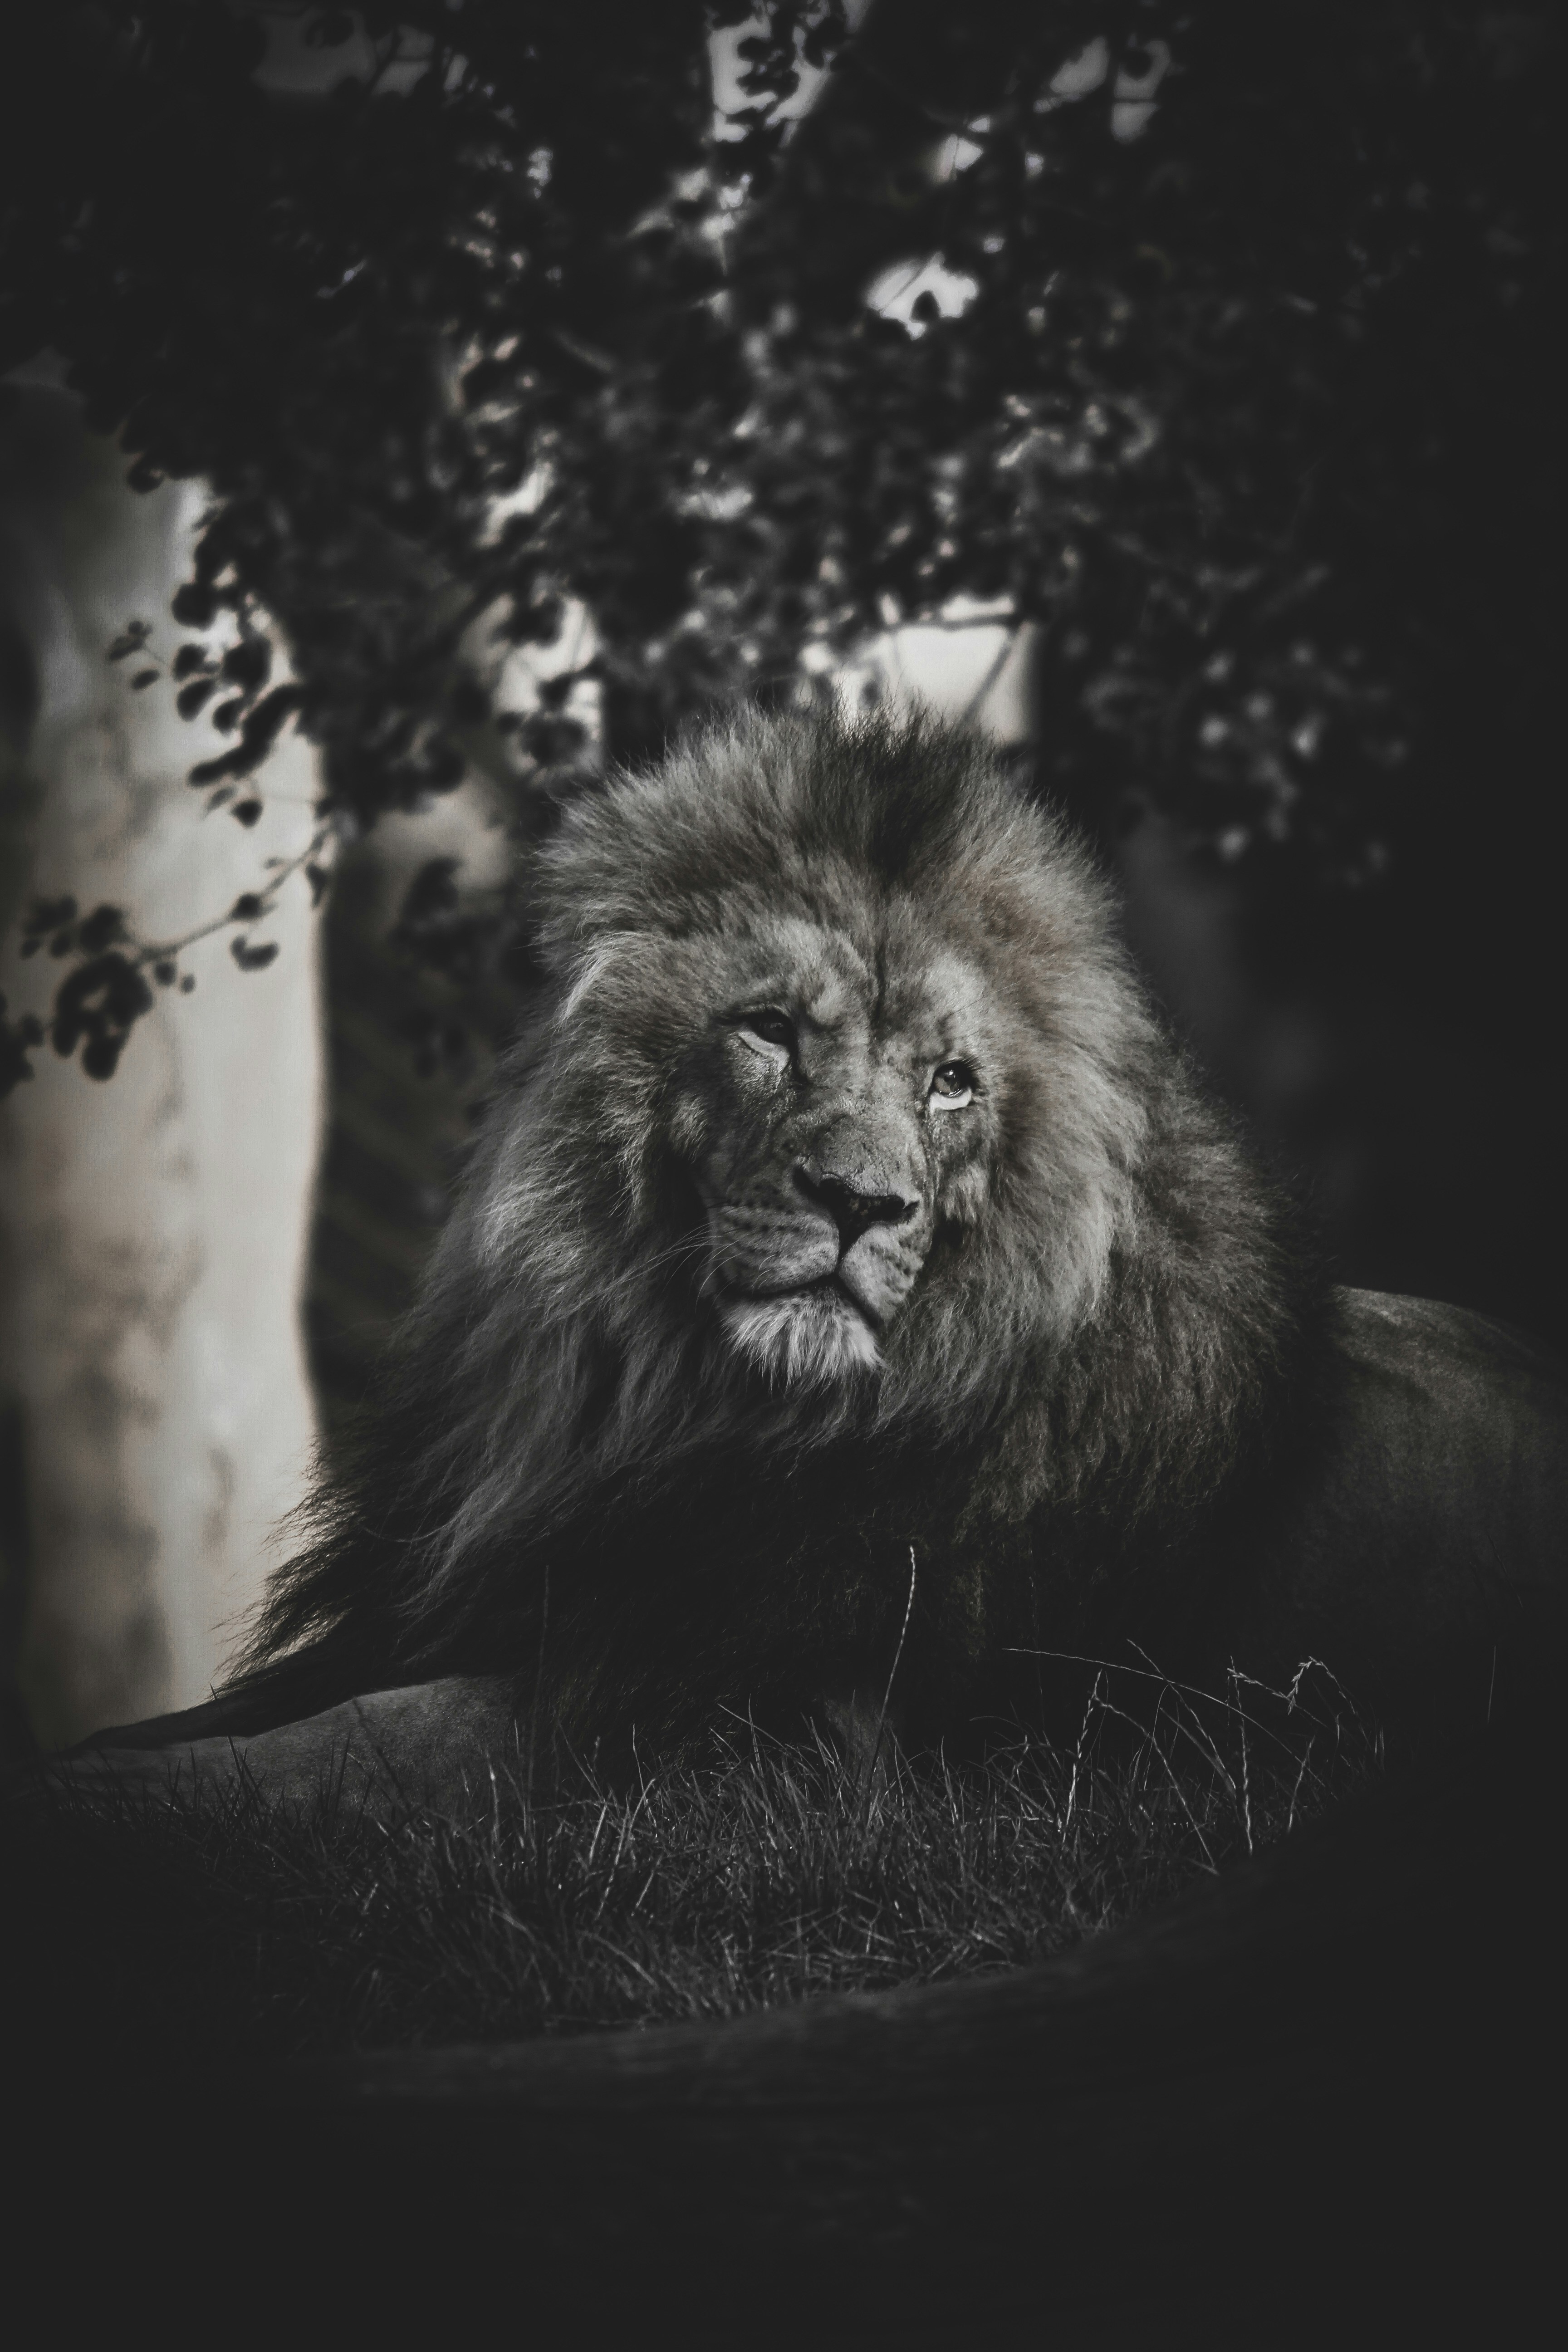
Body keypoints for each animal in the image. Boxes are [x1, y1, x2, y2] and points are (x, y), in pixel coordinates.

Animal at [34, 704, 1568, 1806]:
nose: (860, 1203)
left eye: (952, 1083)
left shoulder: (756, 1726)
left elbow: (343, 1748)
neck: (673, 1407)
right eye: (770, 1030)